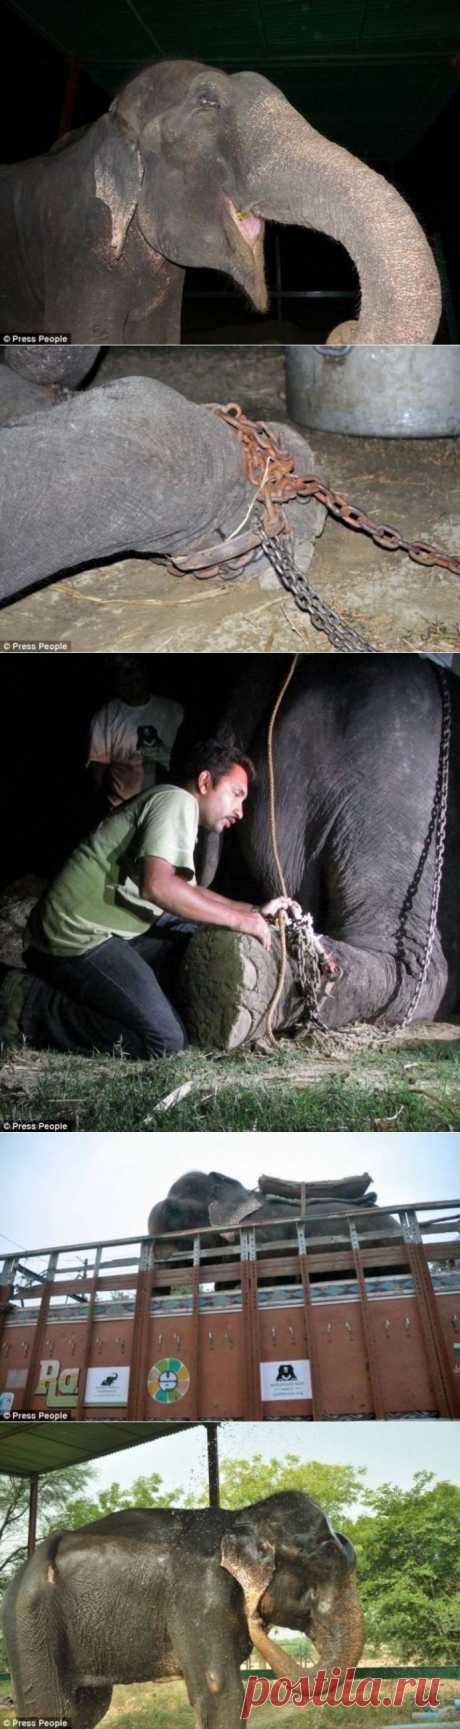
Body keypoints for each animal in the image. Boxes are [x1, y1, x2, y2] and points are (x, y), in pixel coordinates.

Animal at [2, 1493, 363, 1722]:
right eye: (321, 1566)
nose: (257, 1617)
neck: (239, 1518)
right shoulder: (199, 1595)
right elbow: (219, 1689)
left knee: (91, 1706)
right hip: (28, 1620)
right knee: (52, 1708)